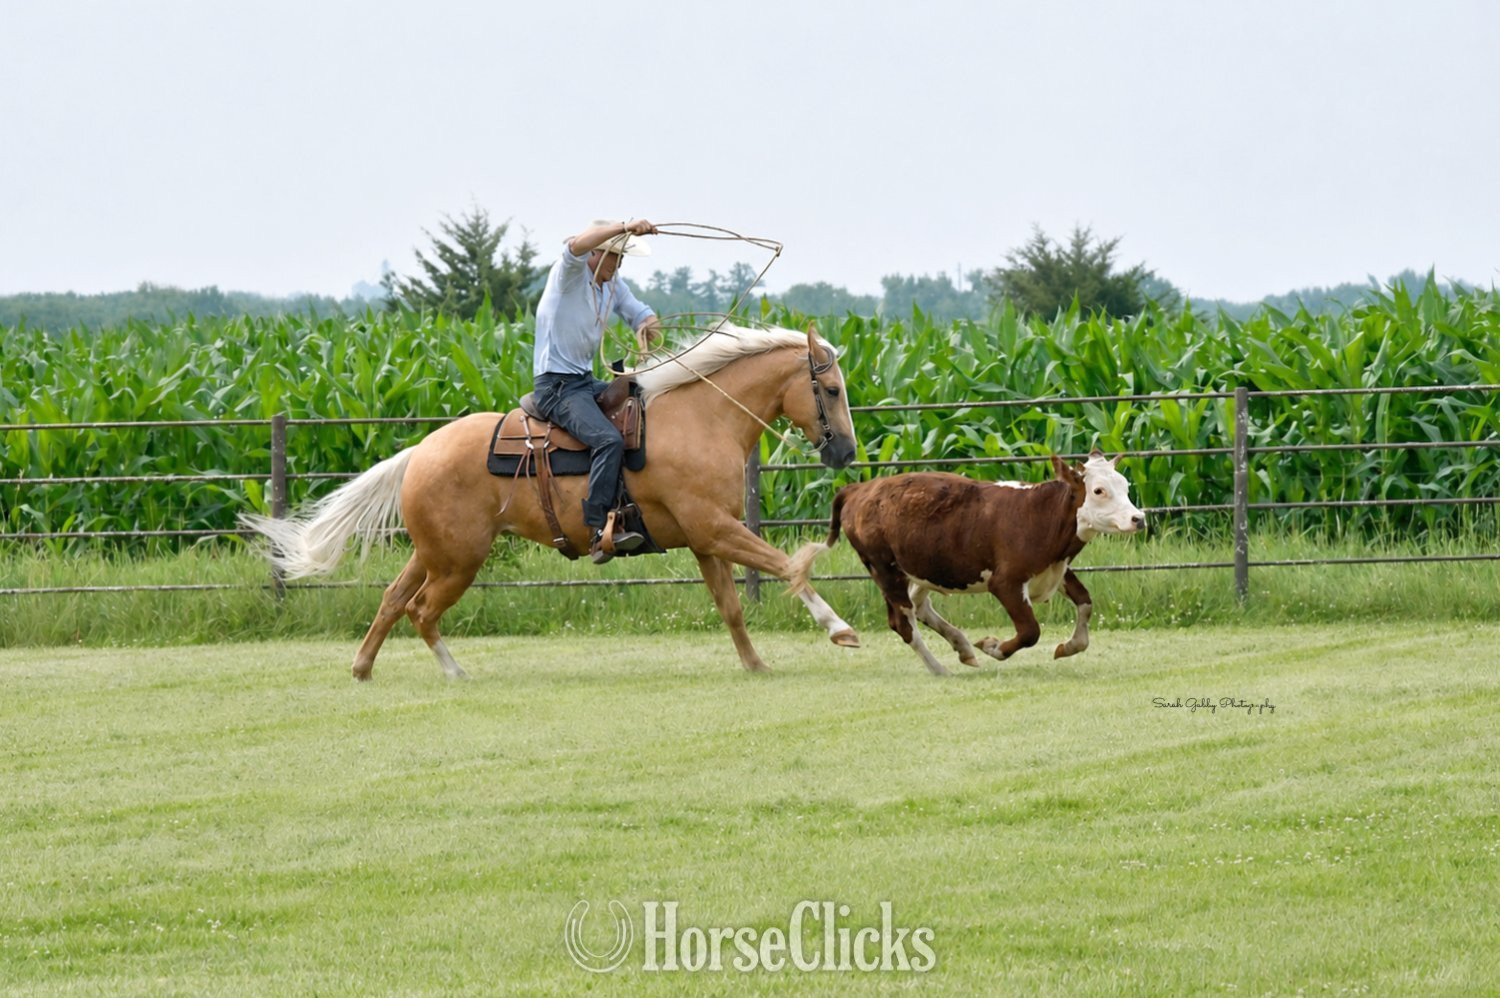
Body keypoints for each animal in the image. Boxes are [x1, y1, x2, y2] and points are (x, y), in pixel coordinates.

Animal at [242, 324, 861, 679]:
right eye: (831, 390)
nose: (847, 452)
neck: (701, 418)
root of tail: (420, 452)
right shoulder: (714, 528)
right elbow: (789, 566)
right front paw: (839, 630)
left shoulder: (705, 537)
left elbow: (732, 607)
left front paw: (755, 664)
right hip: (458, 562)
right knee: (421, 610)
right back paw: (454, 673)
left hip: (434, 553)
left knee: (395, 599)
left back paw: (363, 668)